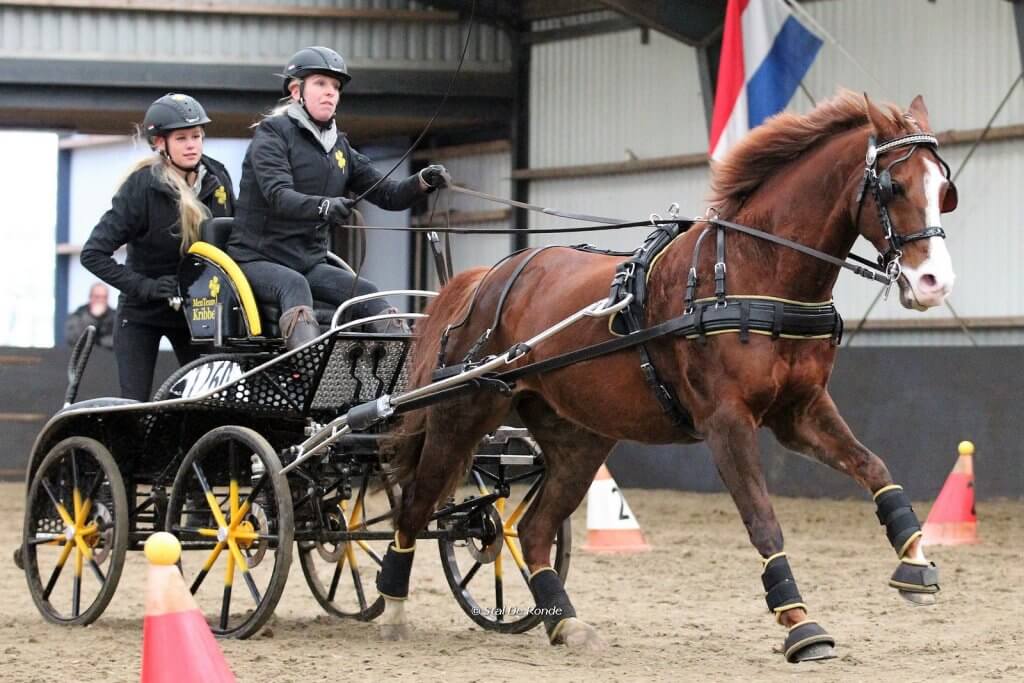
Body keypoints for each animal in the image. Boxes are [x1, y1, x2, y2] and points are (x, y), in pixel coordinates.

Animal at [378, 92, 958, 663]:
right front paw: (799, 624)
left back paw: (566, 624)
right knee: (415, 505)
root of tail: (487, 278)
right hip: (461, 412)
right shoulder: (726, 421)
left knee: (535, 527)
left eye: (943, 190)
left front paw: (915, 565)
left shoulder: (800, 410)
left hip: (578, 438)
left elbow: (873, 467)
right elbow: (763, 518)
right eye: (894, 185)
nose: (935, 282)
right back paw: (393, 609)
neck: (753, 271)